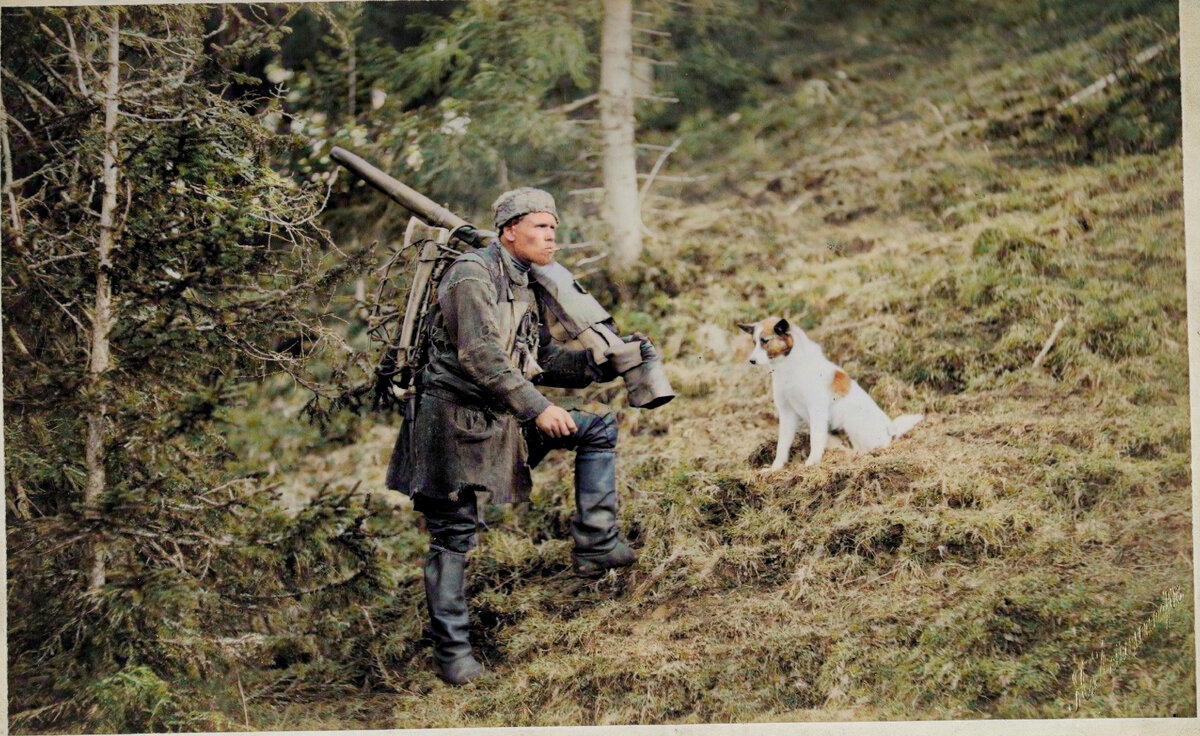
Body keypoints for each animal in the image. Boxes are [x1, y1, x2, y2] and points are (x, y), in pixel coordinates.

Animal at [734, 314, 921, 465]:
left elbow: (815, 440)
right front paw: (775, 469)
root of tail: (890, 429)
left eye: (765, 341)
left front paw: (811, 463)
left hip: (851, 422)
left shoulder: (816, 411)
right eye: (754, 343)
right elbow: (782, 446)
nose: (751, 361)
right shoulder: (787, 414)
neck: (790, 367)